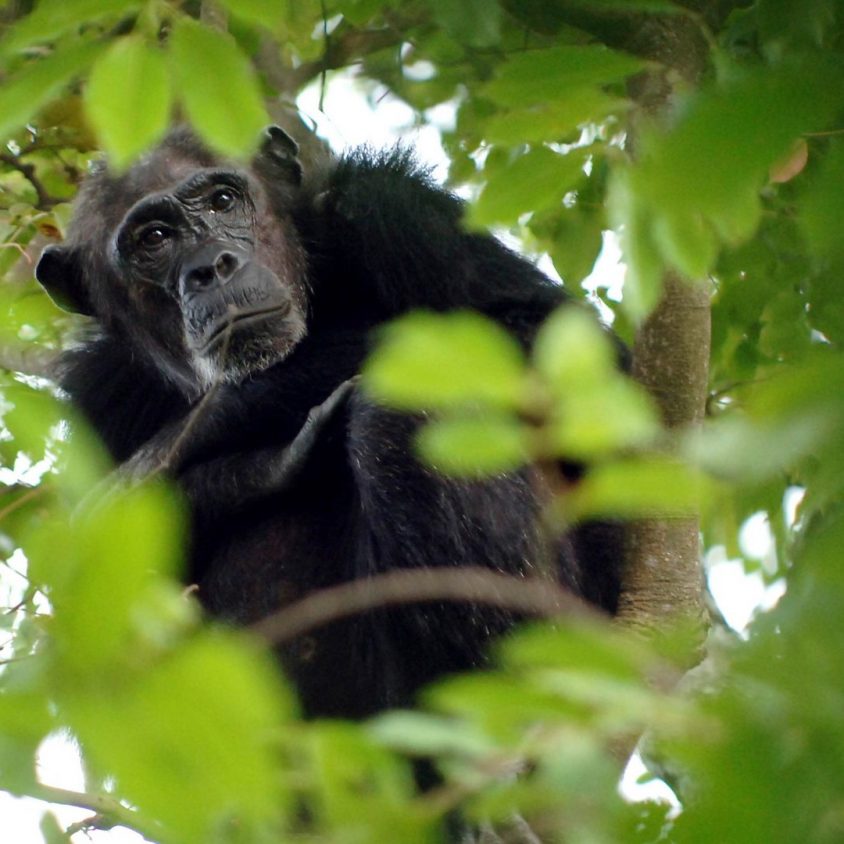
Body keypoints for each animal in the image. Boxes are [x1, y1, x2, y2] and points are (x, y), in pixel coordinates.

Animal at [36, 127, 624, 720]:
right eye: (153, 238)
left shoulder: (397, 208)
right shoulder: (96, 392)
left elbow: (556, 352)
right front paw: (257, 457)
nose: (211, 267)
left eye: (222, 200)